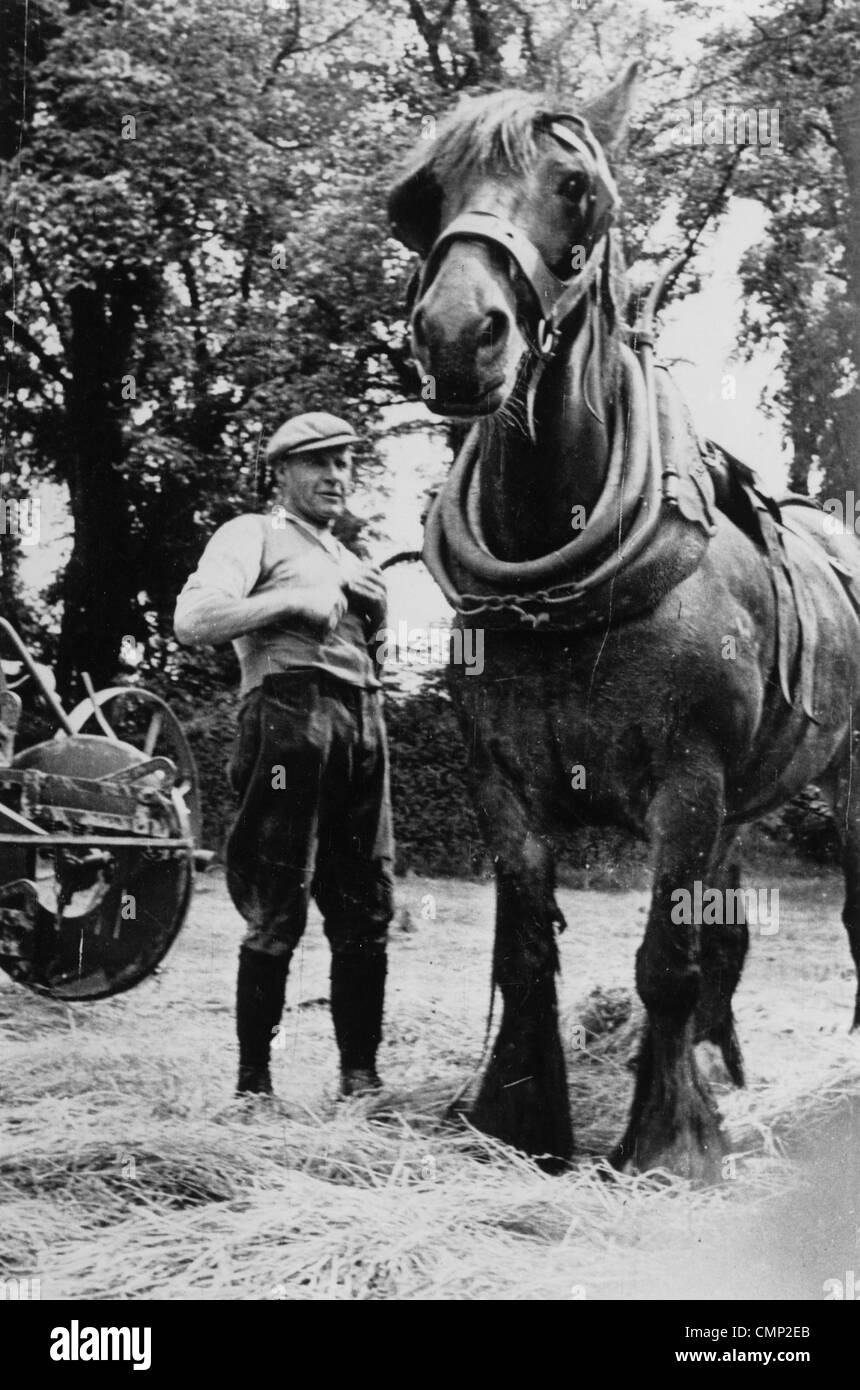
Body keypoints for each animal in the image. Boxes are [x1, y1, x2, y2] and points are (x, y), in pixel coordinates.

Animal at [386, 59, 860, 1178]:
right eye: (421, 198)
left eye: (575, 190)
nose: (457, 336)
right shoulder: (503, 786)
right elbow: (526, 955)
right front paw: (518, 1122)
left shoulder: (686, 787)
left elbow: (663, 963)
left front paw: (671, 1142)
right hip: (742, 804)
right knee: (728, 939)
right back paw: (724, 1068)